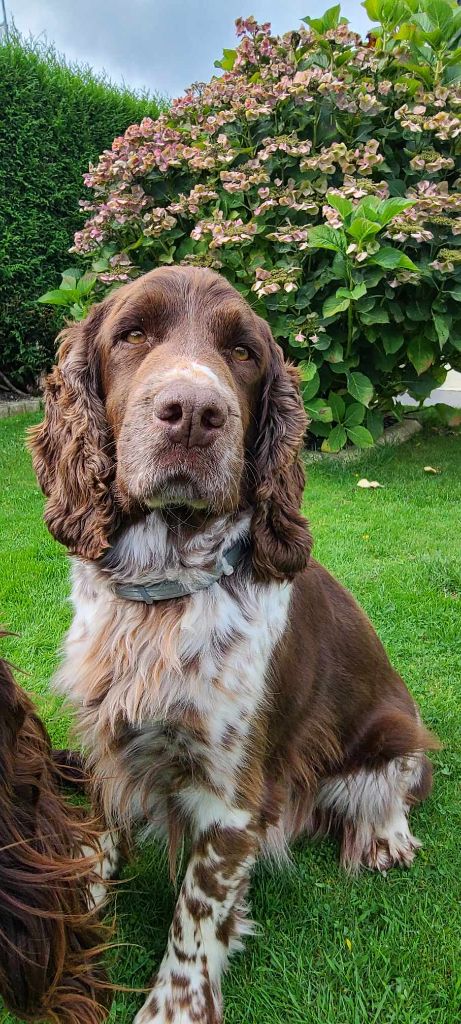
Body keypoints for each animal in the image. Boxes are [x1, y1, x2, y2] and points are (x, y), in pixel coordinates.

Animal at [29, 270, 436, 1024]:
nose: (192, 412)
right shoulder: (109, 733)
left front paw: (173, 1008)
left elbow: (196, 914)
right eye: (132, 334)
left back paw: (385, 839)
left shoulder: (230, 794)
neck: (162, 587)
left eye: (242, 352)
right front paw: (79, 898)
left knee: (398, 783)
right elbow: (102, 833)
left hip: (395, 727)